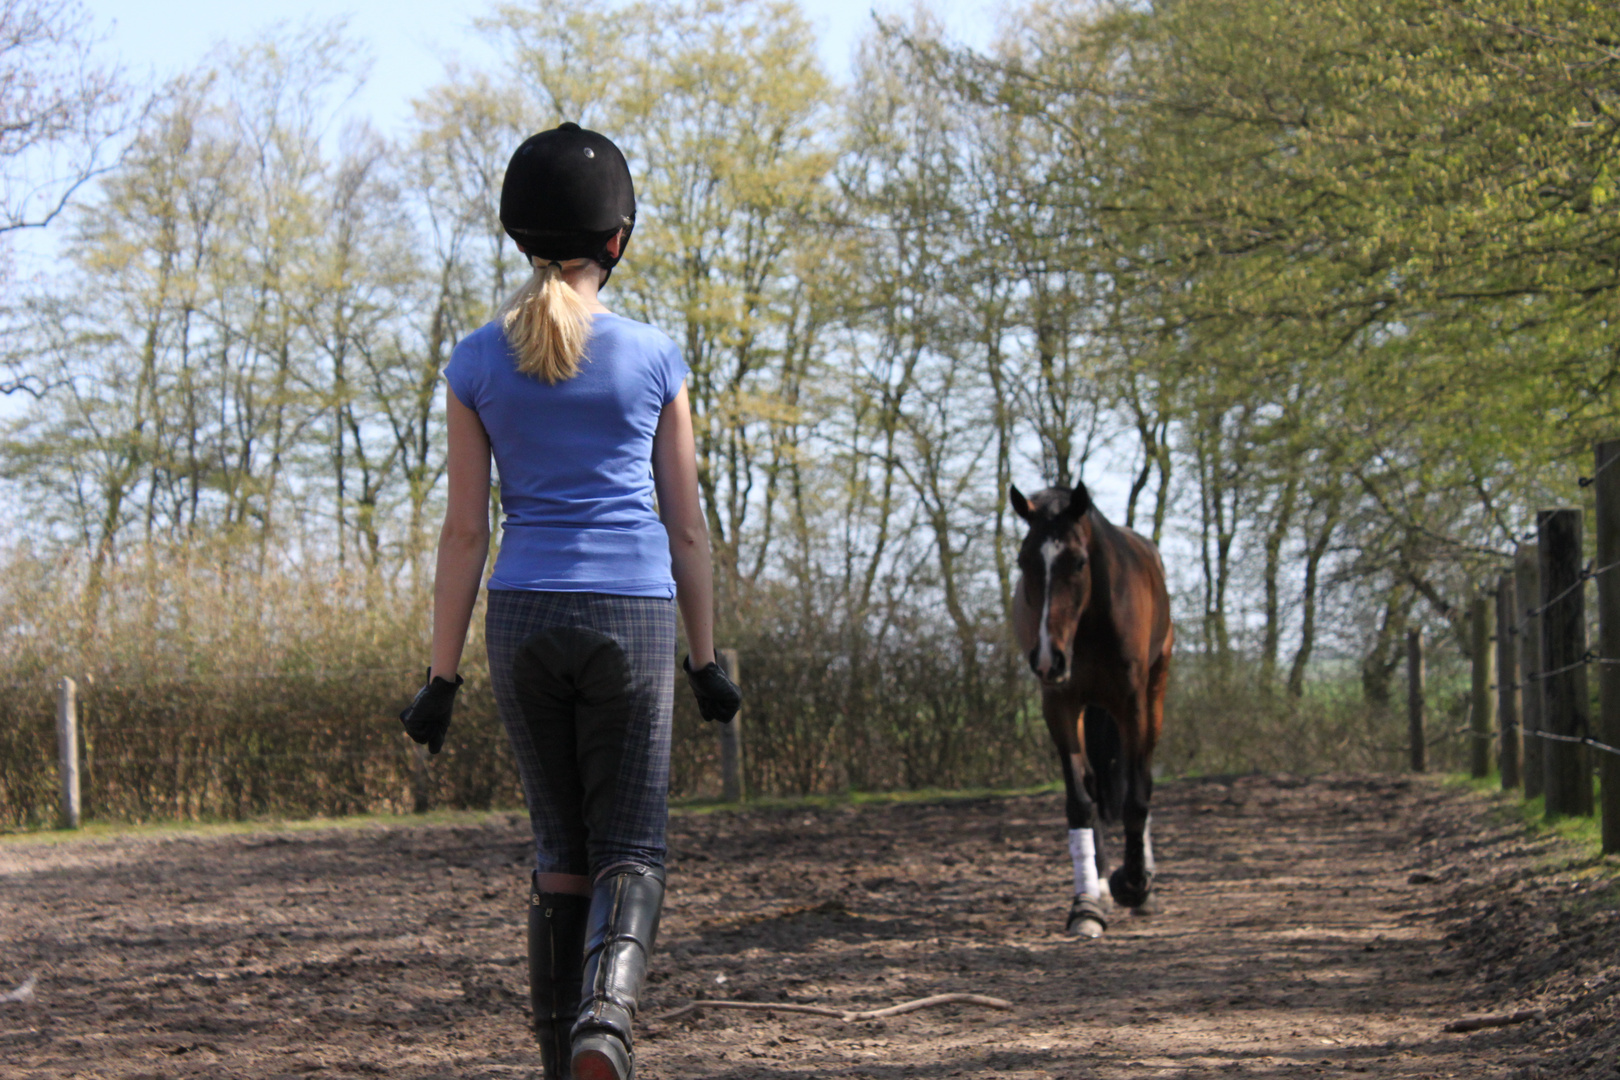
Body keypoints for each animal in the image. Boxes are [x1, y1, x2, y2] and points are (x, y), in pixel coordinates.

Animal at [1004, 479, 1172, 939]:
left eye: (1078, 562)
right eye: (1024, 561)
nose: (1047, 658)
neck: (1090, 622)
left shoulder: (1132, 703)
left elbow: (1136, 795)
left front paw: (1134, 884)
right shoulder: (1059, 704)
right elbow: (1080, 801)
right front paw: (1086, 905)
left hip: (1154, 693)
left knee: (1139, 779)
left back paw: (1141, 884)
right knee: (1097, 787)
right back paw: (1099, 884)